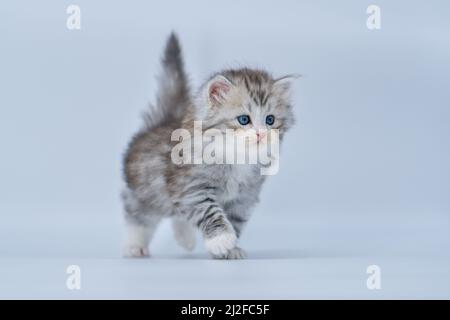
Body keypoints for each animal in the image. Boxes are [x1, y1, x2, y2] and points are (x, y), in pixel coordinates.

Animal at [121, 32, 296, 258]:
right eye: (244, 120)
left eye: (270, 120)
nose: (261, 134)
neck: (236, 156)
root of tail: (163, 121)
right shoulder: (192, 188)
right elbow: (210, 212)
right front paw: (221, 240)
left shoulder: (243, 198)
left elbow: (234, 221)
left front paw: (230, 249)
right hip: (145, 191)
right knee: (137, 214)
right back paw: (134, 245)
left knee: (178, 214)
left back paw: (185, 239)